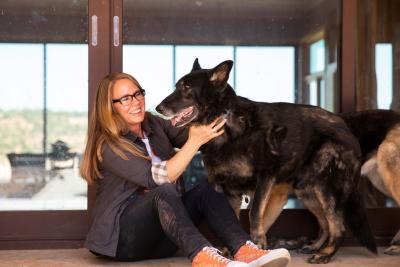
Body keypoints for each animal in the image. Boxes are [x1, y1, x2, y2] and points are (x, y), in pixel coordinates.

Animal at [155, 59, 376, 264]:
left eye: (186, 87)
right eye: (177, 86)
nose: (158, 108)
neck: (227, 124)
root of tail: (346, 127)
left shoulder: (264, 178)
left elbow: (254, 213)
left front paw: (259, 244)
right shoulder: (229, 190)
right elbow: (230, 220)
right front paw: (233, 250)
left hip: (325, 189)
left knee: (338, 226)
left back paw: (325, 254)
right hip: (307, 191)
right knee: (324, 223)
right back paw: (315, 246)